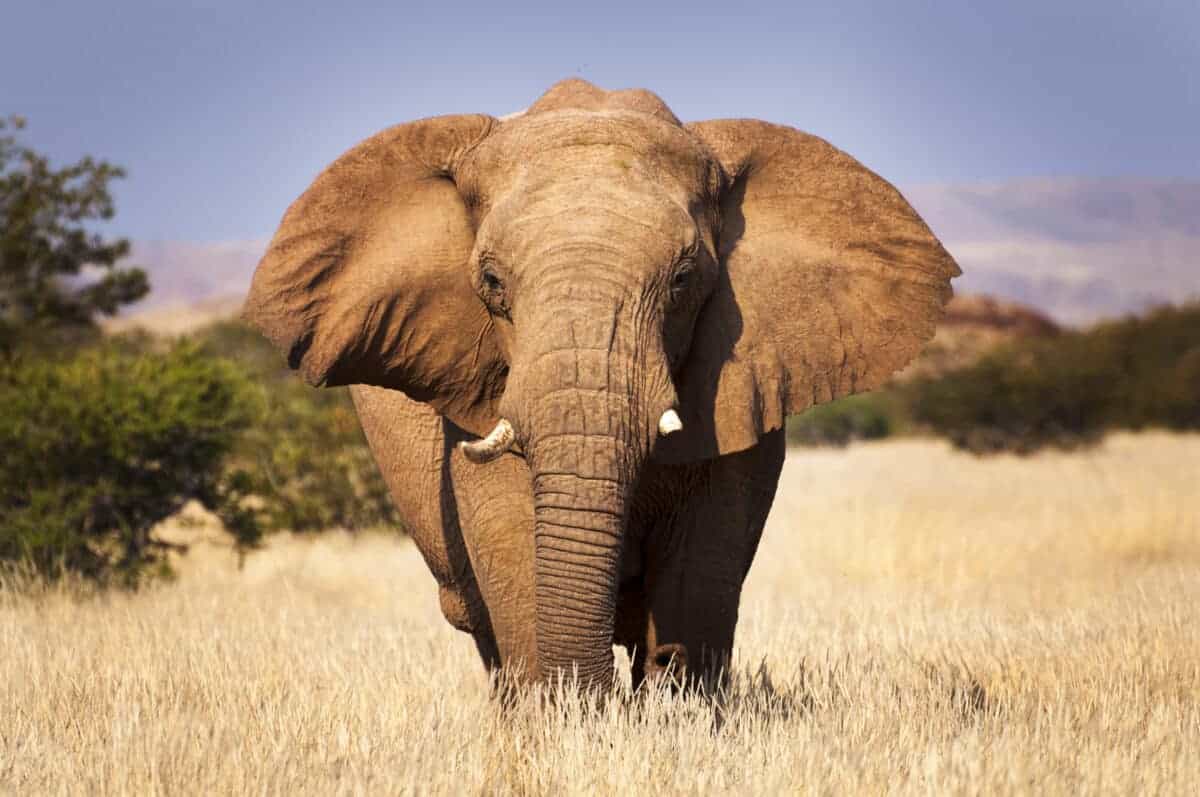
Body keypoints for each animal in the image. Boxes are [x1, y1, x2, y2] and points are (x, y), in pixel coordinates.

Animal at [242, 78, 960, 692]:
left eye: (683, 280)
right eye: (492, 282)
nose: (598, 689)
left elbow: (702, 567)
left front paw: (673, 702)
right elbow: (511, 539)